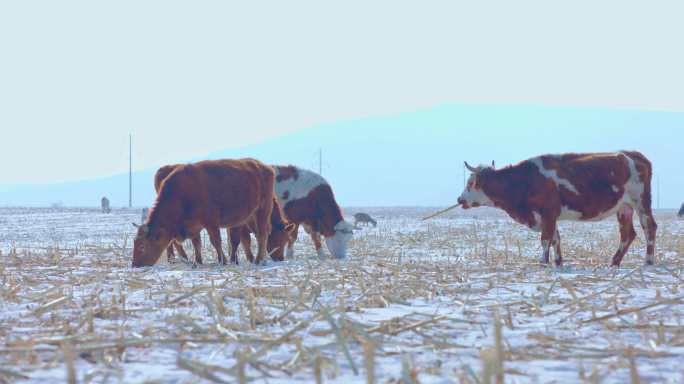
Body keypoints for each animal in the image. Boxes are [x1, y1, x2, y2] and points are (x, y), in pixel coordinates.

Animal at [132, 159, 274, 268]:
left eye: (142, 246)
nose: (135, 265)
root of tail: (264, 167)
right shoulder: (194, 226)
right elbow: (197, 243)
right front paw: (198, 261)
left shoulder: (211, 223)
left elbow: (215, 241)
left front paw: (222, 261)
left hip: (263, 210)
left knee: (262, 234)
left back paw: (259, 260)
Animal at [456, 151, 660, 268]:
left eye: (470, 183)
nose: (460, 199)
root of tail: (634, 155)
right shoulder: (549, 216)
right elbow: (556, 238)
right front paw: (558, 261)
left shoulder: (548, 212)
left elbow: (546, 239)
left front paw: (543, 262)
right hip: (624, 207)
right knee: (628, 234)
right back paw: (614, 262)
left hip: (641, 202)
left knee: (649, 227)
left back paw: (648, 261)